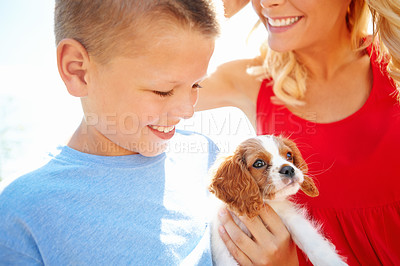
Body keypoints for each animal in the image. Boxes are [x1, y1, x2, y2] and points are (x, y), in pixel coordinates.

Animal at [209, 135, 346, 266]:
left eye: (289, 155)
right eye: (259, 163)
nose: (289, 169)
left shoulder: (288, 215)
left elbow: (312, 241)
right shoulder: (222, 245)